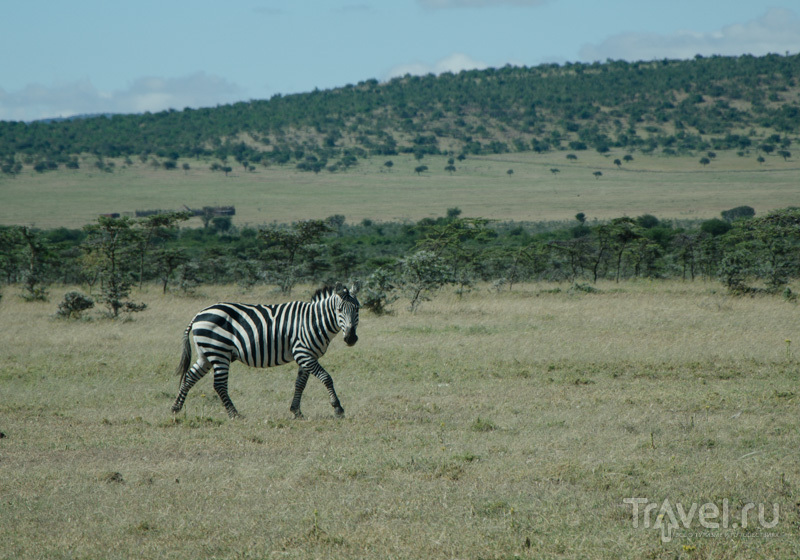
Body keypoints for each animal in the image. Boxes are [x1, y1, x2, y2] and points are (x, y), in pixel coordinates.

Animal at [173, 284, 360, 420]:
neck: (313, 321)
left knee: (190, 377)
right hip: (219, 351)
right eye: (339, 310)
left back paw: (176, 408)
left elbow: (300, 384)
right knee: (219, 384)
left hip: (206, 353)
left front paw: (296, 411)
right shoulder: (303, 353)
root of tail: (199, 314)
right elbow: (326, 378)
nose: (351, 338)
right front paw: (338, 408)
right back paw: (235, 414)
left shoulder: (307, 355)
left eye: (357, 309)